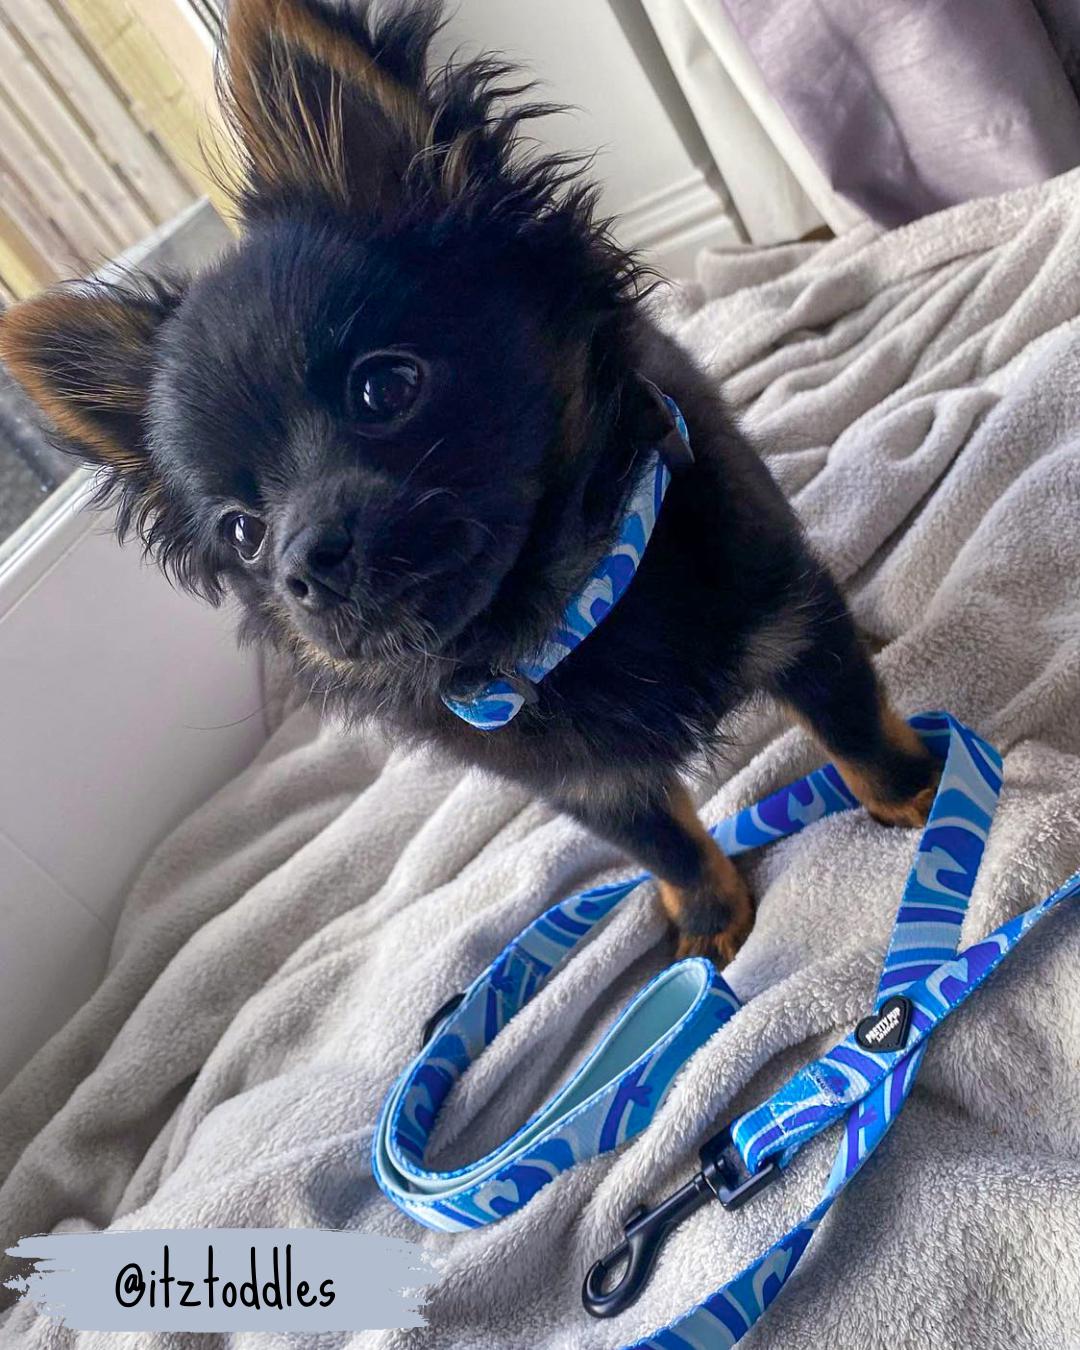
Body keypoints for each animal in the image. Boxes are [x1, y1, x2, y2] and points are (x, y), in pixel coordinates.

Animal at [0, 2, 934, 972]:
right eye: (241, 532)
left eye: (385, 388)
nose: (302, 565)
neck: (565, 613)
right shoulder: (585, 780)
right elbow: (664, 842)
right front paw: (709, 914)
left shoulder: (784, 608)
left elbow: (849, 716)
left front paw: (919, 793)